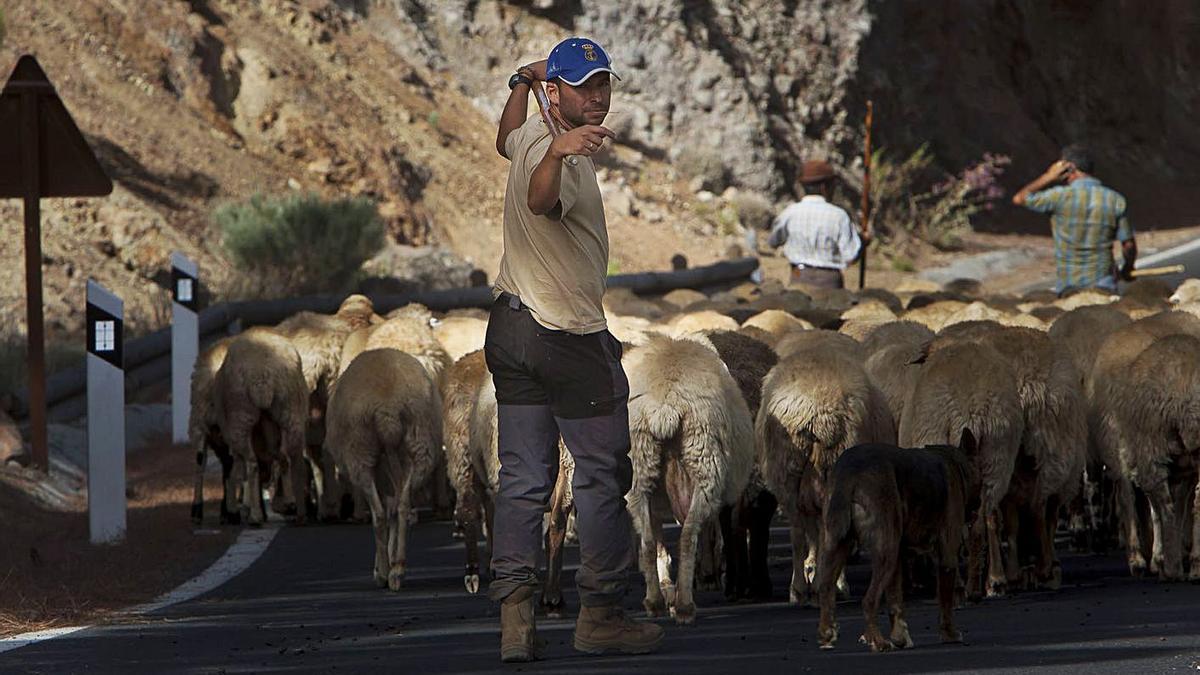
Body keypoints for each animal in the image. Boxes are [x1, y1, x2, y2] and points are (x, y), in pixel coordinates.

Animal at [213, 329, 312, 523]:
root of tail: (261, 372)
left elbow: (237, 469)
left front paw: (238, 507)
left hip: (241, 417)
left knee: (252, 463)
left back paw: (255, 516)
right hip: (290, 412)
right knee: (291, 459)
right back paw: (296, 508)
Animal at [624, 333, 753, 624]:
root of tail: (665, 404)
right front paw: (707, 576)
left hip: (639, 464)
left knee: (648, 538)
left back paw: (655, 602)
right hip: (705, 463)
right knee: (688, 535)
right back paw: (684, 605)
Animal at [753, 333, 897, 600]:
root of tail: (819, 409)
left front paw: (812, 568)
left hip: (786, 469)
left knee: (798, 532)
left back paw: (799, 588)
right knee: (830, 529)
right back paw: (828, 586)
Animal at [811, 432, 979, 648]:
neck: (957, 463)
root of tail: (849, 473)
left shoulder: (899, 559)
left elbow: (895, 600)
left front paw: (900, 637)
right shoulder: (947, 557)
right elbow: (946, 602)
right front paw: (950, 634)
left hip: (837, 546)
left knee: (826, 588)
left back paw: (827, 633)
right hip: (885, 552)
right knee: (869, 600)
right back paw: (877, 641)